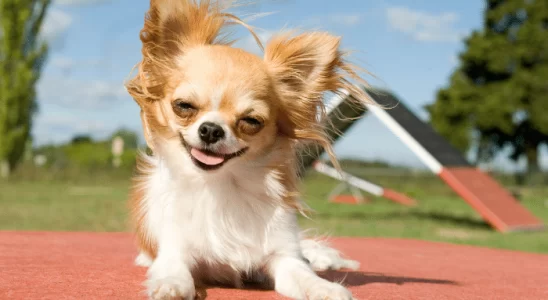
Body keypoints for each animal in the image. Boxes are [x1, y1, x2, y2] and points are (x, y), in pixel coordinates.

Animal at [124, 1, 372, 298]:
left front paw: (325, 288)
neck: (222, 186)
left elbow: (304, 275)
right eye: (183, 106)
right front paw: (170, 285)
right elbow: (173, 269)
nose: (211, 129)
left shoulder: (285, 258)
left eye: (251, 121)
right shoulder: (174, 250)